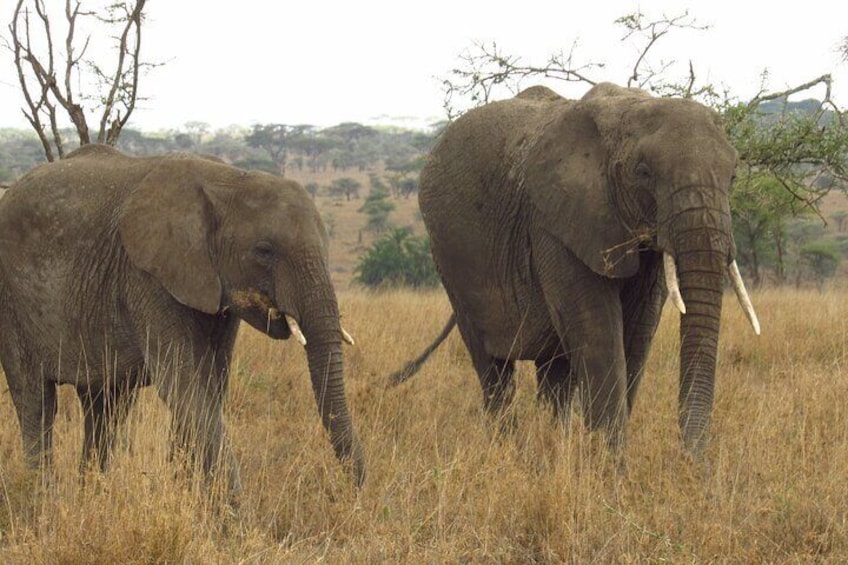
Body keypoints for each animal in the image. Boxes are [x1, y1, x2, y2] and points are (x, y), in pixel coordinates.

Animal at [0, 144, 364, 494]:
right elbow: (186, 388)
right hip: (12, 304)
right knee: (37, 402)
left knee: (104, 407)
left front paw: (191, 497)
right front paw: (231, 513)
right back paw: (43, 500)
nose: (352, 492)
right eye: (264, 251)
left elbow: (211, 387)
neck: (229, 180)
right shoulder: (147, 277)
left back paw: (91, 495)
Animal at [390, 83, 760, 458]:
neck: (626, 107)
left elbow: (636, 333)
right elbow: (597, 331)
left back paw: (553, 444)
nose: (691, 464)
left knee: (555, 372)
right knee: (493, 368)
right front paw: (608, 469)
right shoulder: (554, 223)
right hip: (450, 258)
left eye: (733, 175)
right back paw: (506, 450)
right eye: (643, 172)